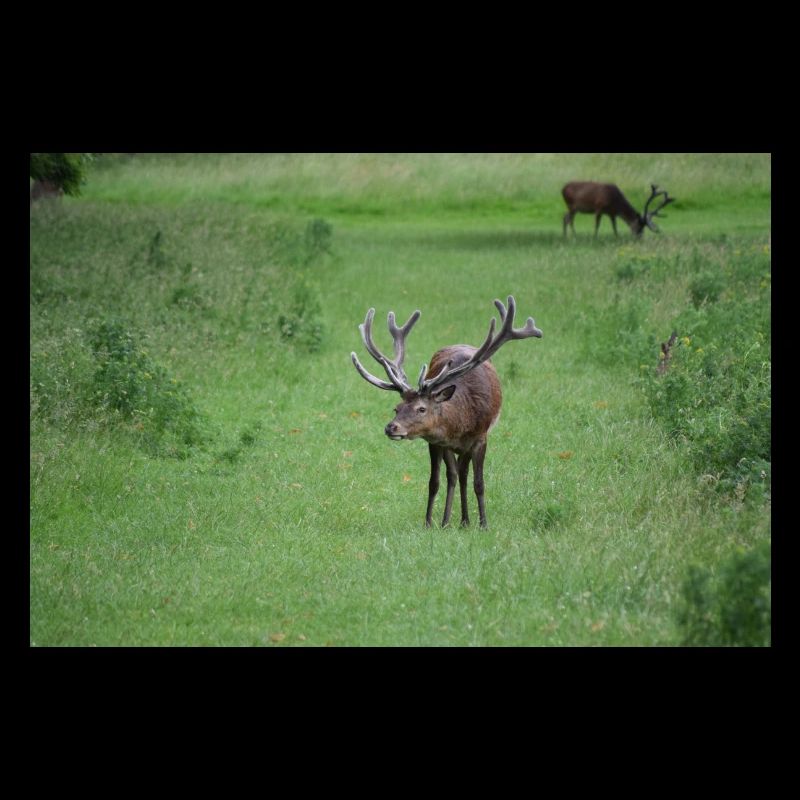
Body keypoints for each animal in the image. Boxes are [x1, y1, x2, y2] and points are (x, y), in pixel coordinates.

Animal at [350, 296, 542, 529]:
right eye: (397, 408)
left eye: (421, 408)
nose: (391, 427)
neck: (461, 422)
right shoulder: (436, 441)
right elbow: (434, 481)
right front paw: (430, 522)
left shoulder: (480, 437)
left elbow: (479, 482)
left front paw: (484, 524)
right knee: (455, 474)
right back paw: (452, 520)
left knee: (463, 474)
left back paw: (465, 520)